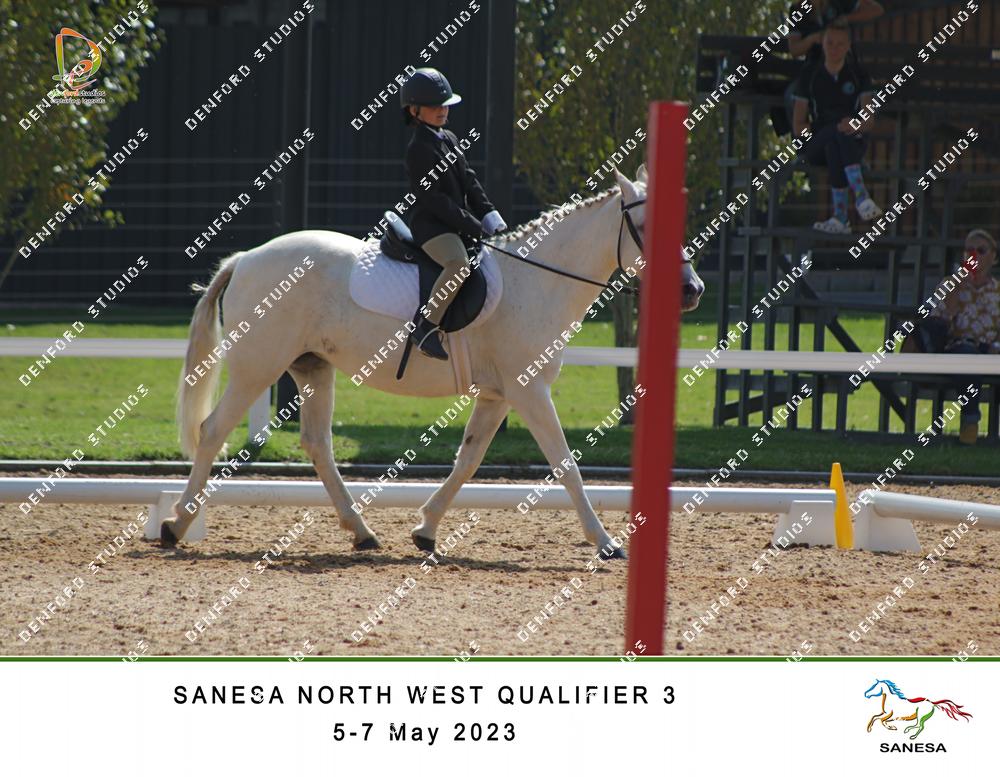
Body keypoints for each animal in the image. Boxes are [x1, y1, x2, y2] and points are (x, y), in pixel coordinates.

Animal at [161, 164, 705, 557]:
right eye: (643, 226)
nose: (693, 291)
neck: (537, 280)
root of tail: (247, 258)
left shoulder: (498, 396)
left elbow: (468, 461)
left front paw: (425, 530)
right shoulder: (529, 391)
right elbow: (566, 464)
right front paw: (606, 542)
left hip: (311, 367)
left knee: (317, 444)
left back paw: (361, 532)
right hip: (259, 366)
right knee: (213, 430)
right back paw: (176, 524)